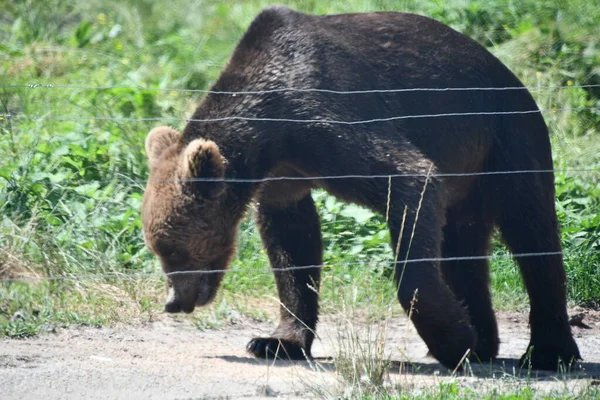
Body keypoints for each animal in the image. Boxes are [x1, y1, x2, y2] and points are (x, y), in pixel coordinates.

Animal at [141, 6, 580, 370]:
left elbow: (407, 179)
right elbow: (292, 246)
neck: (273, 132)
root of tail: (508, 71)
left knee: (532, 231)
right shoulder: (286, 177)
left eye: (173, 249)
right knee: (464, 247)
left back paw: (548, 351)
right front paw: (276, 341)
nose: (173, 302)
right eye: (158, 249)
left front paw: (455, 340)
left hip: (506, 139)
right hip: (468, 175)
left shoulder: (332, 117)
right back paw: (485, 339)